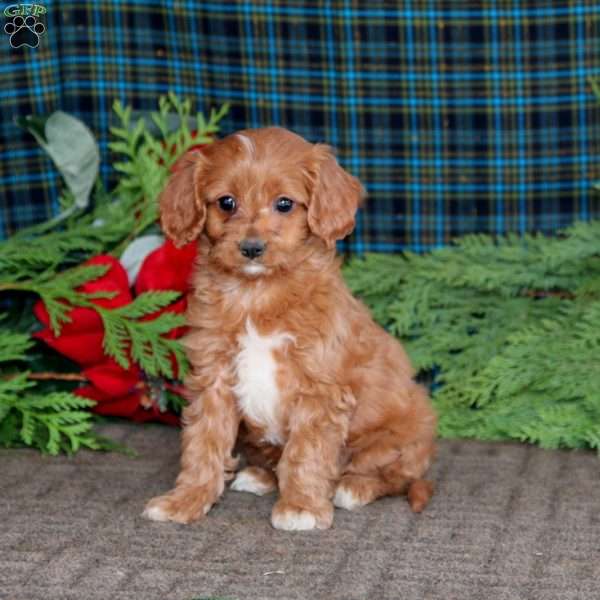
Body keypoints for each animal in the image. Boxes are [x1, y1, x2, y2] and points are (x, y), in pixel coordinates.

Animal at [144, 126, 436, 528]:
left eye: (284, 204)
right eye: (226, 202)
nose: (252, 248)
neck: (256, 294)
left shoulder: (320, 388)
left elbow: (306, 450)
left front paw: (301, 507)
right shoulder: (213, 377)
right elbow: (203, 443)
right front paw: (186, 499)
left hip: (398, 439)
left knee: (397, 476)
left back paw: (354, 488)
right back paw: (259, 475)